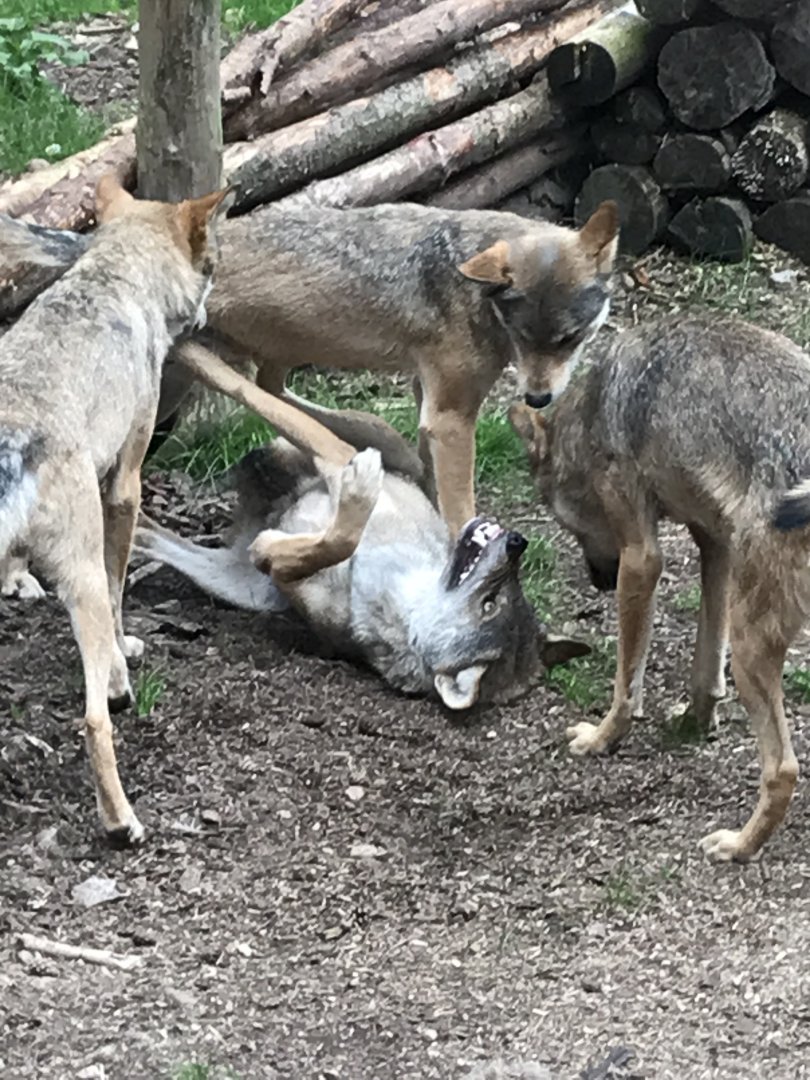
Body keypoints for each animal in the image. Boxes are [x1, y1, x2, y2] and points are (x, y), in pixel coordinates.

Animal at [0, 176, 231, 845]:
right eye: (215, 264)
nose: (210, 318)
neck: (115, 276)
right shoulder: (125, 484)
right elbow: (119, 588)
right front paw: (125, 665)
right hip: (81, 585)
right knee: (93, 721)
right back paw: (120, 818)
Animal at [1, 199, 619, 535]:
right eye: (524, 336)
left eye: (569, 340)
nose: (538, 399)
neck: (465, 280)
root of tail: (94, 243)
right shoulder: (450, 418)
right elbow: (459, 510)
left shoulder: (433, 403)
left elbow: (432, 482)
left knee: (275, 391)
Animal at [136, 343, 588, 709]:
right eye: (513, 589)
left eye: (491, 604)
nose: (517, 542)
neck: (381, 585)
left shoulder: (330, 474)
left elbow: (326, 536)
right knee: (282, 402)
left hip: (241, 587)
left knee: (155, 534)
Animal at [509, 311, 810, 862]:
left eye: (564, 524)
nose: (599, 582)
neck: (594, 406)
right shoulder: (716, 546)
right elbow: (705, 669)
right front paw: (695, 723)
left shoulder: (642, 558)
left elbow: (628, 681)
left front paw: (602, 738)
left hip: (751, 650)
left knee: (783, 769)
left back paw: (738, 846)